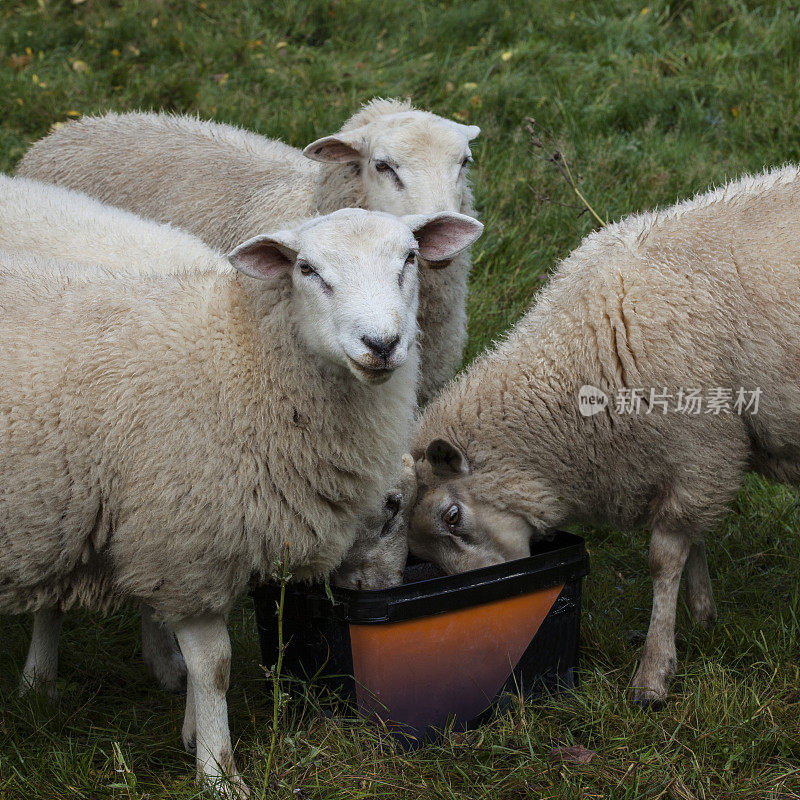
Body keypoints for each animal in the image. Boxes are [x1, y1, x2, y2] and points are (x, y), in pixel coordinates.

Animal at [1, 183, 482, 792]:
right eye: (307, 269)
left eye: (410, 259)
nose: (381, 342)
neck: (244, 352)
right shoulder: (186, 539)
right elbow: (216, 666)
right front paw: (218, 772)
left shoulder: (183, 531)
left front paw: (189, 726)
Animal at [406, 162, 800, 708]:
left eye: (452, 516)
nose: (479, 615)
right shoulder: (693, 456)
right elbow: (694, 544)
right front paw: (702, 616)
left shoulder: (703, 449)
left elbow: (664, 559)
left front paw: (653, 673)